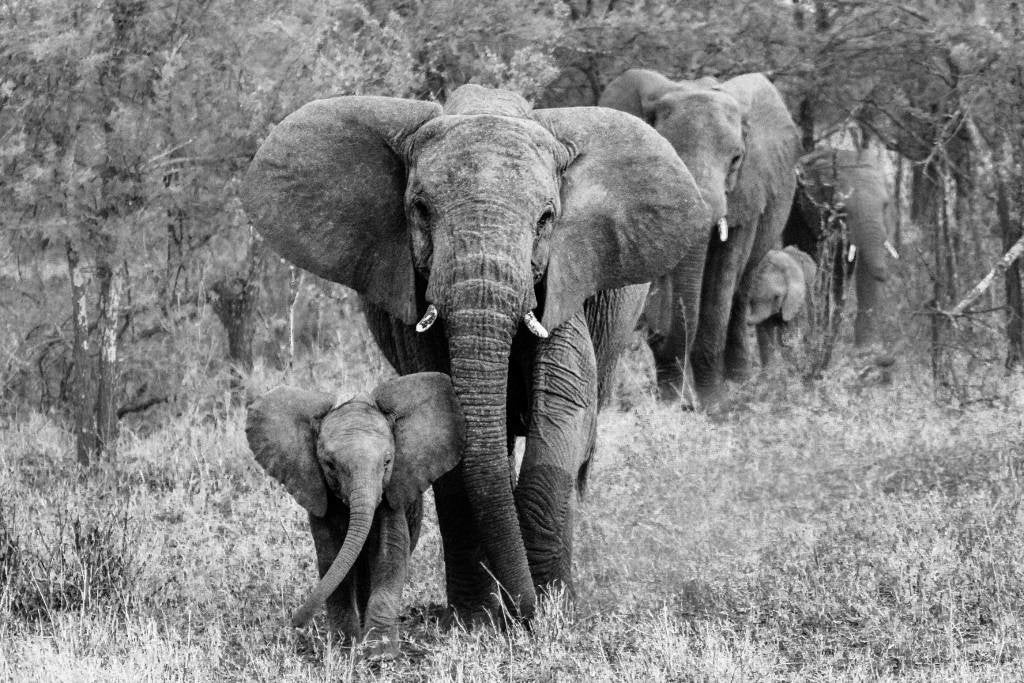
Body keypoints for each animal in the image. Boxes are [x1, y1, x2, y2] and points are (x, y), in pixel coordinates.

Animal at [241, 85, 712, 626]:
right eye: (420, 209)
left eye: (546, 219)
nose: (524, 613)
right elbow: (449, 425)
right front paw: (477, 621)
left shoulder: (564, 277)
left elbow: (562, 410)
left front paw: (552, 614)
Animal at [247, 370, 464, 655]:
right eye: (329, 465)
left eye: (388, 462)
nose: (294, 622)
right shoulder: (320, 495)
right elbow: (331, 557)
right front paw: (344, 649)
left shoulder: (392, 494)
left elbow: (389, 553)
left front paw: (380, 655)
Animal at [598, 68, 802, 405]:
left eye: (736, 159)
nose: (656, 334)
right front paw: (671, 403)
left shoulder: (747, 192)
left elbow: (722, 283)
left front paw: (714, 403)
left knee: (740, 291)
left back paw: (740, 383)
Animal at [782, 146, 897, 344]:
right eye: (841, 209)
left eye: (886, 205)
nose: (886, 276)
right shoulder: (811, 213)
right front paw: (819, 335)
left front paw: (868, 347)